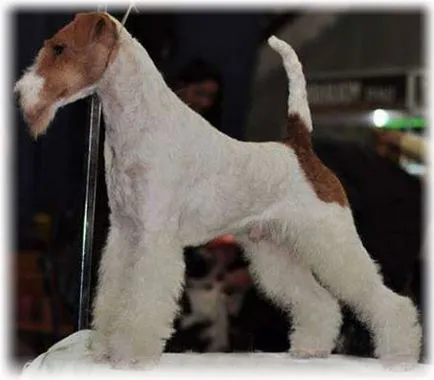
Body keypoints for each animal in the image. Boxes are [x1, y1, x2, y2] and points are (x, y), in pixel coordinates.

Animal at [16, 11, 420, 368]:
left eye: (59, 49)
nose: (20, 94)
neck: (141, 122)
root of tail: (300, 147)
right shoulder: (124, 233)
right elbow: (114, 295)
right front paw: (103, 349)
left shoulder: (154, 236)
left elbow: (143, 300)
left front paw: (130, 354)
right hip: (275, 249)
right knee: (318, 301)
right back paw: (310, 348)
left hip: (332, 239)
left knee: (384, 299)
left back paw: (400, 354)